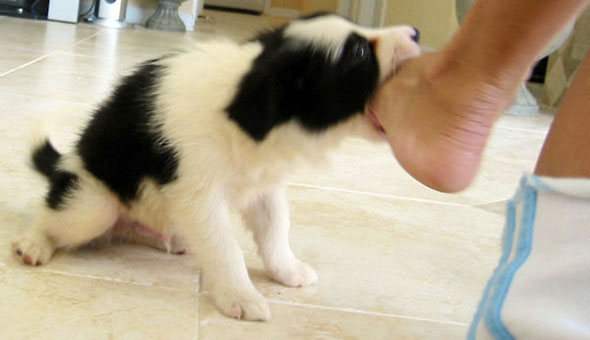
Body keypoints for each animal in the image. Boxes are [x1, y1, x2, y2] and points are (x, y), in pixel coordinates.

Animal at [12, 13, 420, 320]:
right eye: (359, 54)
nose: (415, 32)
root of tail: (67, 163)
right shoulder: (199, 196)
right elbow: (226, 248)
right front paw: (241, 296)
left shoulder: (265, 186)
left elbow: (275, 230)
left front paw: (286, 270)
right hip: (92, 204)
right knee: (57, 216)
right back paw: (34, 242)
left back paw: (170, 239)